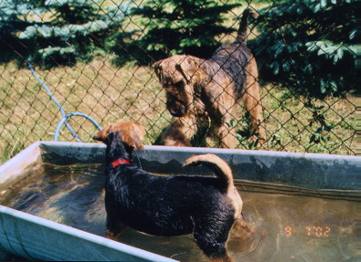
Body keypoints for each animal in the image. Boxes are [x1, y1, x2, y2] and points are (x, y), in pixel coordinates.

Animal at [153, 8, 266, 147]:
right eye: (165, 85)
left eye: (180, 83)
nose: (174, 111)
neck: (201, 85)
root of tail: (238, 42)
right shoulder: (189, 117)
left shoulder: (223, 123)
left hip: (252, 93)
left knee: (257, 116)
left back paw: (260, 141)